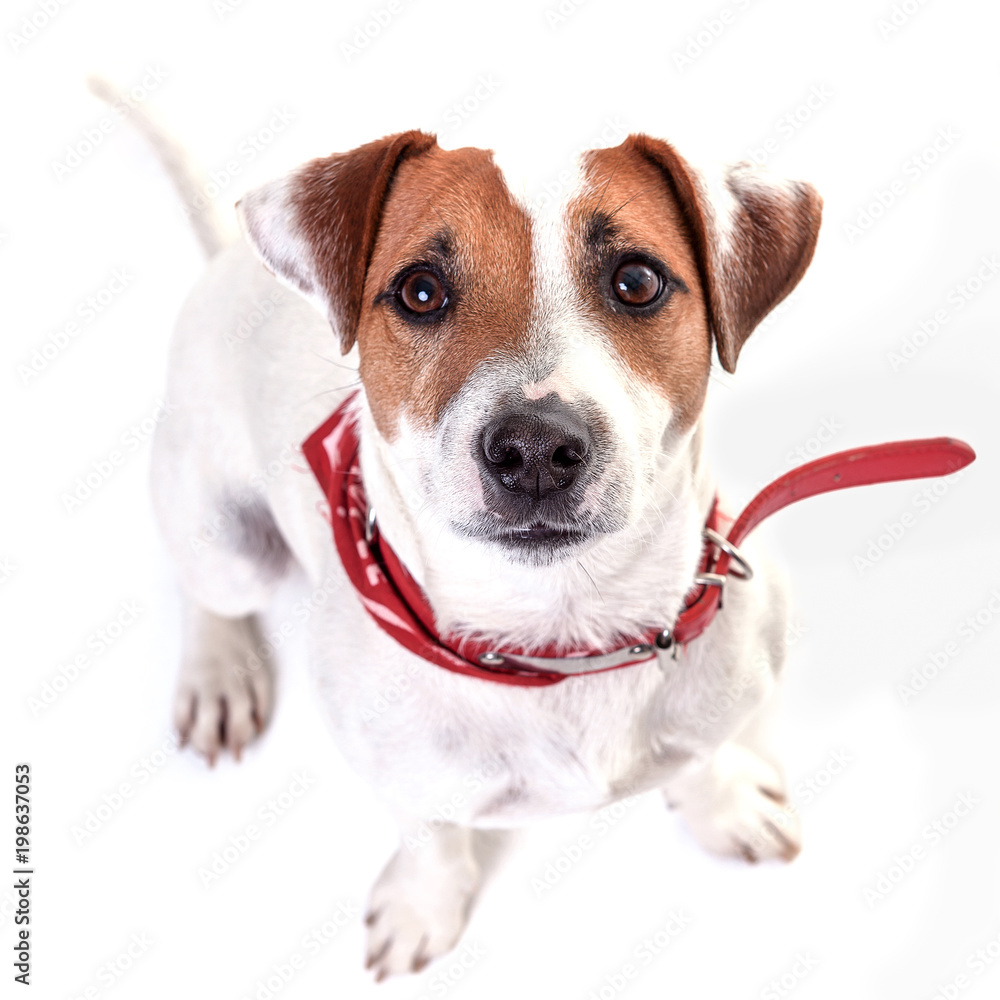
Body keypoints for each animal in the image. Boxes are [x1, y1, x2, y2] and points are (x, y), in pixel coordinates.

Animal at [148, 123, 820, 976]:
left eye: (637, 280)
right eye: (420, 291)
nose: (534, 449)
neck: (561, 643)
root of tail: (227, 263)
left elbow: (708, 750)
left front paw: (724, 803)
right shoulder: (403, 778)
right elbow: (429, 835)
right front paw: (420, 909)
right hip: (228, 539)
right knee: (205, 589)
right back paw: (218, 677)